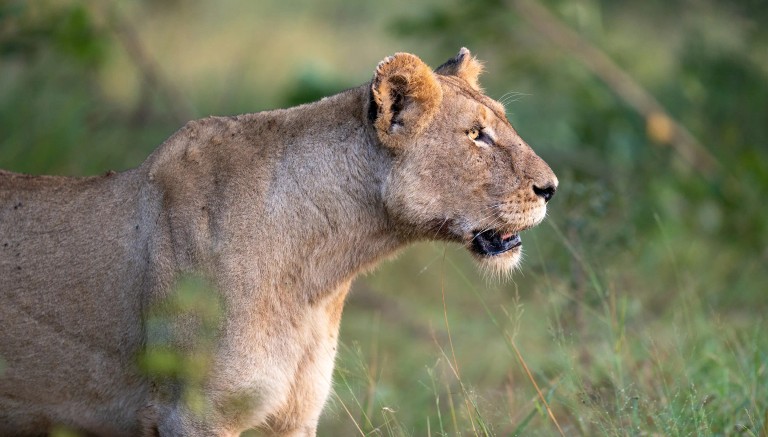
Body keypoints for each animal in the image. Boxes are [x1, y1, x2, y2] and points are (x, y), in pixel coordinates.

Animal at [0, 48, 557, 436]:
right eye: (476, 135)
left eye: (501, 123)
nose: (551, 188)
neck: (320, 273)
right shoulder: (195, 413)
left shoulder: (296, 414)